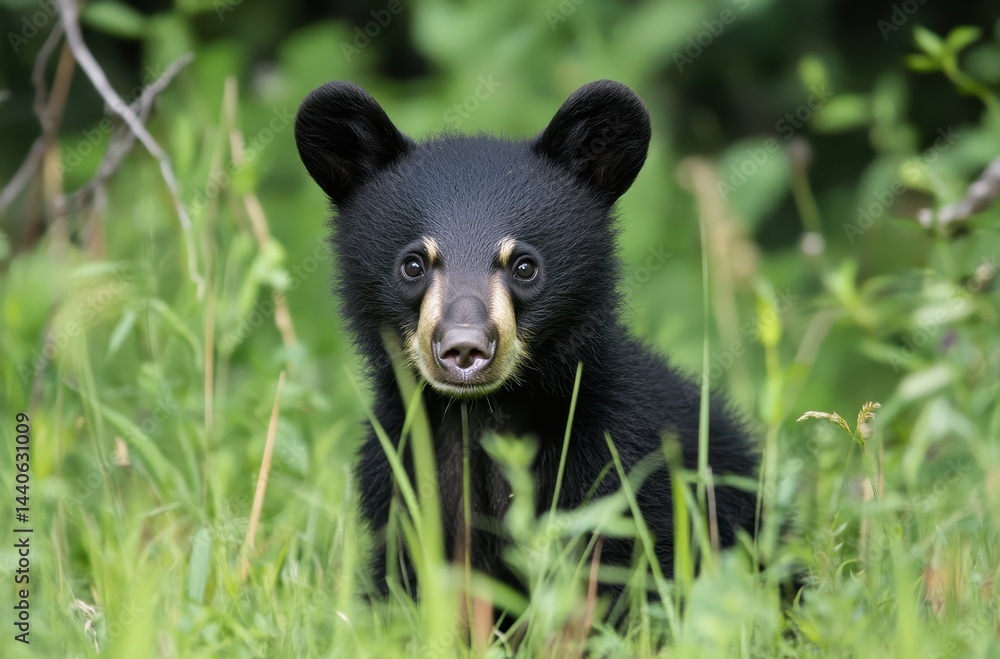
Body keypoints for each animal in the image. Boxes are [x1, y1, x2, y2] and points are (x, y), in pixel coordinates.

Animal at [294, 79, 759, 606]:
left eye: (524, 266)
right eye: (413, 264)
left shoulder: (621, 459)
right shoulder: (398, 469)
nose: (464, 349)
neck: (481, 417)